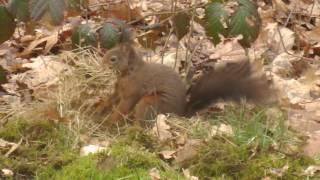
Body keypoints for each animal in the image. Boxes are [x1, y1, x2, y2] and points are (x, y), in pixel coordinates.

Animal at [101, 28, 274, 126]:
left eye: (113, 59)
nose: (103, 61)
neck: (129, 71)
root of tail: (181, 114)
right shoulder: (119, 89)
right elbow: (111, 99)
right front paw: (99, 108)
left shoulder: (133, 90)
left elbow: (123, 107)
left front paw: (109, 122)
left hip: (150, 102)